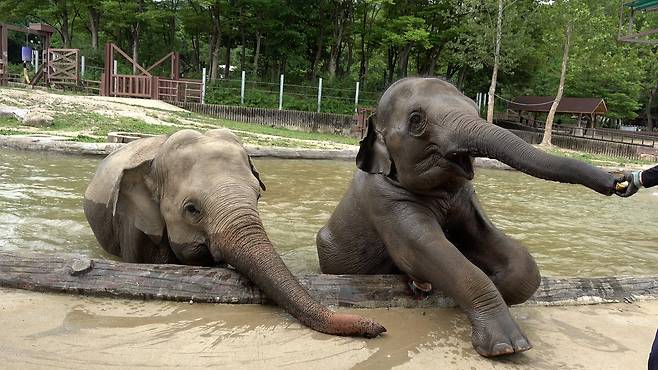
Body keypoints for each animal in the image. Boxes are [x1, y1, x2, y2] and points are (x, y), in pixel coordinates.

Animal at [316, 77, 616, 356]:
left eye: (474, 106)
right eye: (416, 120)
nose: (617, 182)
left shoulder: (465, 198)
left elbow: (496, 246)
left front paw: (499, 285)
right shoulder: (383, 200)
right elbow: (424, 251)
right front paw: (508, 347)